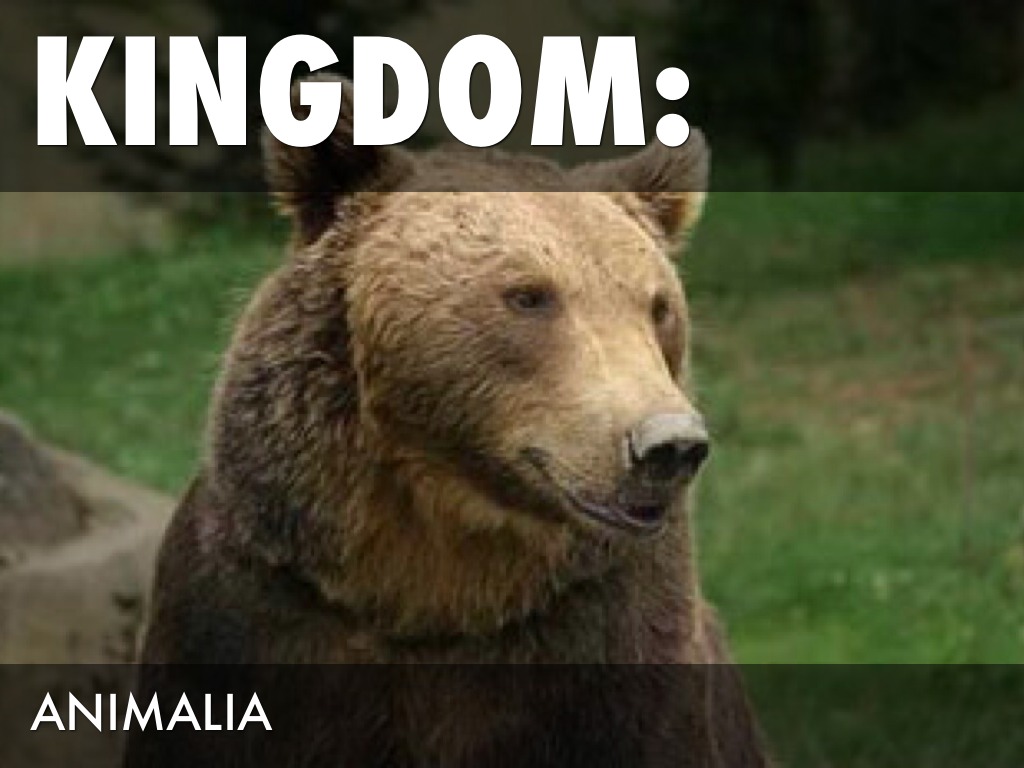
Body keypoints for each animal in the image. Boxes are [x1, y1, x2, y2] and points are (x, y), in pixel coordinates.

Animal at [124, 77, 768, 768]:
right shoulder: (252, 612)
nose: (668, 446)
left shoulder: (611, 651)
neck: (435, 588)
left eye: (658, 306)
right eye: (529, 296)